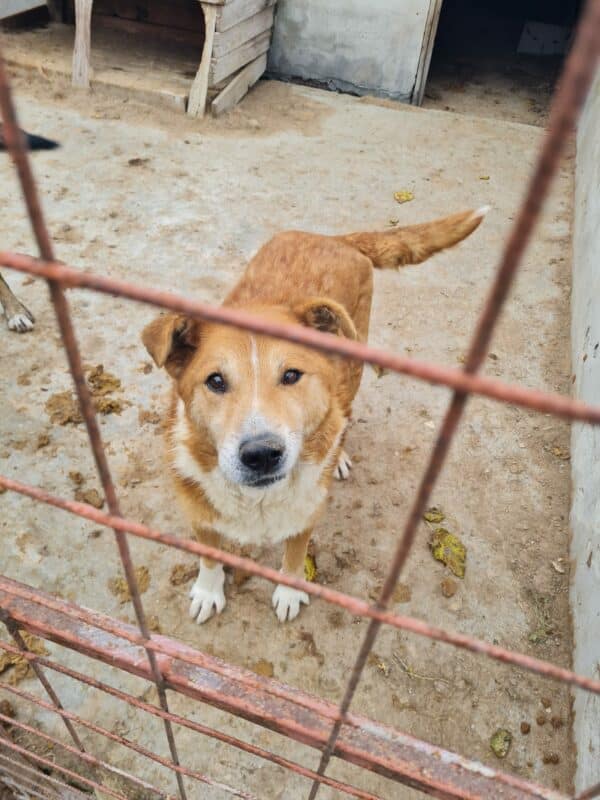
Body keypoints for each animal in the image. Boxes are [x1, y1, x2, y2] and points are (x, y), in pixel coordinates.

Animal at [144, 209, 488, 620]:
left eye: (291, 375)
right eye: (215, 381)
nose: (262, 454)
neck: (258, 498)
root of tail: (335, 239)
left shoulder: (306, 512)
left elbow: (295, 556)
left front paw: (289, 591)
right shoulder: (198, 510)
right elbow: (208, 554)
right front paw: (209, 590)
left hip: (353, 368)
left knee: (345, 415)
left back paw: (338, 456)